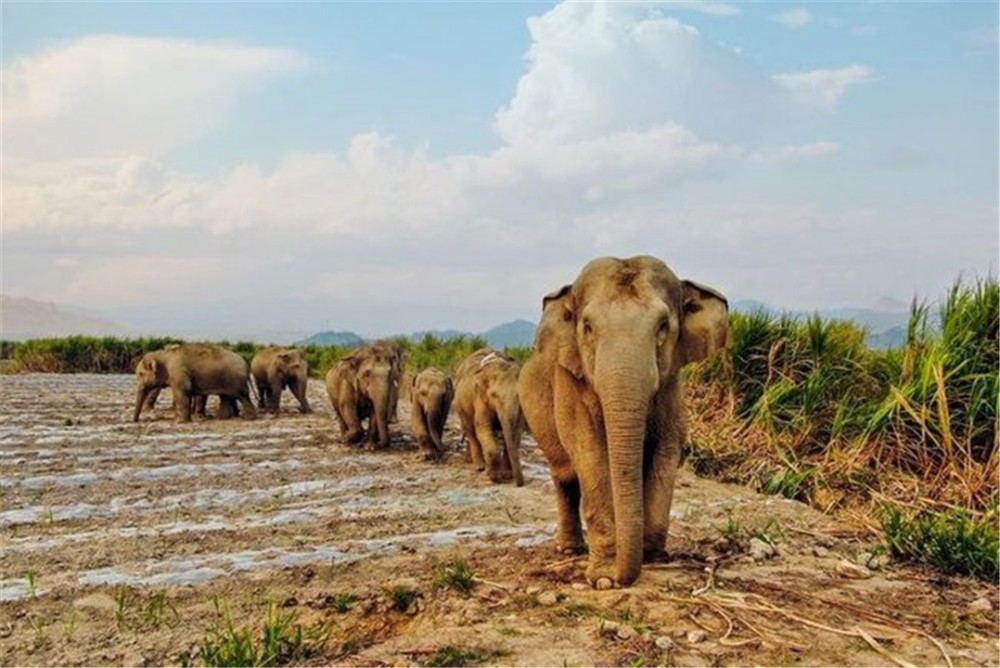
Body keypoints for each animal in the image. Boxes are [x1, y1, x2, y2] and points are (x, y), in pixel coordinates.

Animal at [456, 350, 528, 486]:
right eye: (494, 395)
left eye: (518, 394)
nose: (519, 483)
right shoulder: (480, 398)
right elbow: (482, 427)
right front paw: (494, 477)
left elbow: (516, 432)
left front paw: (507, 475)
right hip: (461, 406)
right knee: (471, 432)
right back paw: (479, 466)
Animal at [516, 253, 728, 588]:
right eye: (588, 327)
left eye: (663, 326)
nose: (622, 577)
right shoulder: (572, 384)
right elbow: (590, 454)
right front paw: (604, 578)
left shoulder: (672, 388)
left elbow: (666, 451)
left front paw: (651, 556)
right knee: (565, 475)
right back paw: (569, 550)